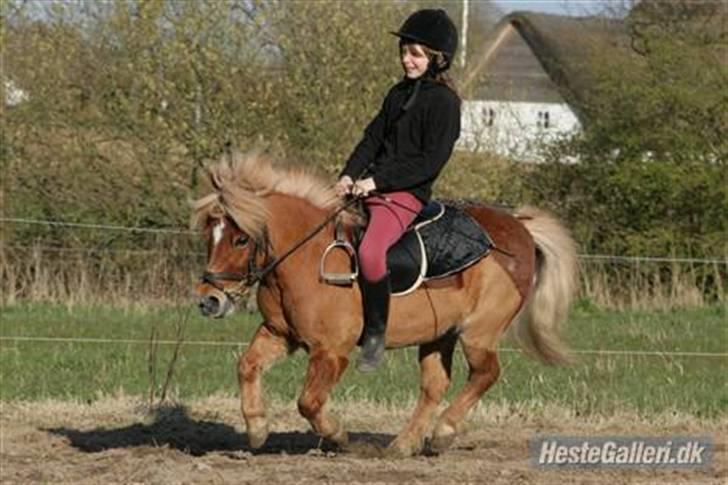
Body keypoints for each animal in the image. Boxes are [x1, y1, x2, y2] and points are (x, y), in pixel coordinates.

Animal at [193, 153, 580, 456]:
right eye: (209, 234)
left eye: (241, 239)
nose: (209, 301)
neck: (305, 255)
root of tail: (520, 228)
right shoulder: (279, 333)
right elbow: (247, 365)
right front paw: (257, 428)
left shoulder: (331, 351)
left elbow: (309, 401)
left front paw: (339, 436)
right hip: (439, 335)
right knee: (435, 385)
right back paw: (404, 444)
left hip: (479, 331)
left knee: (486, 373)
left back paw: (443, 433)